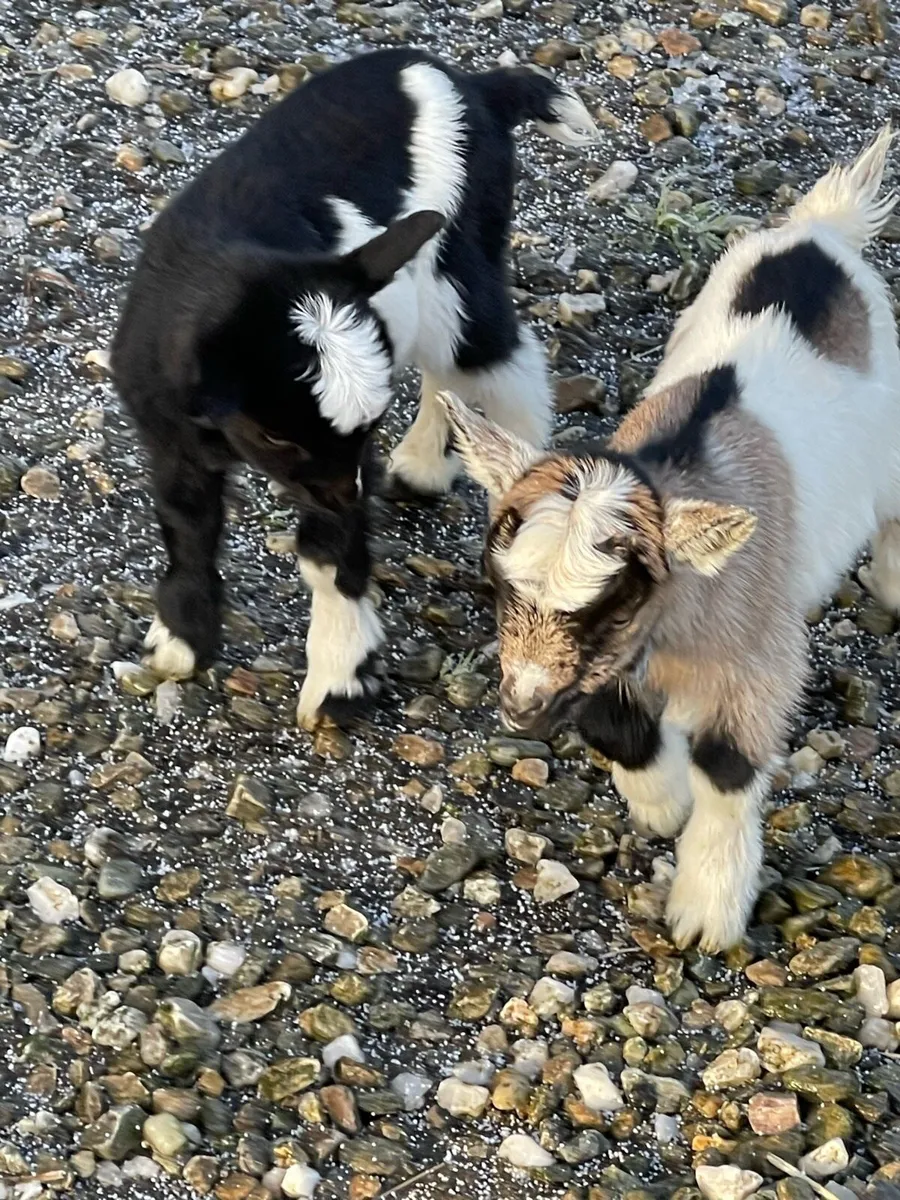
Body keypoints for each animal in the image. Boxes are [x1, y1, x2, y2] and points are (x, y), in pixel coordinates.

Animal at [111, 47, 596, 729]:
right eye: (275, 436)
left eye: (366, 427)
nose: (351, 495)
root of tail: (477, 85)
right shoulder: (169, 430)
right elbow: (186, 522)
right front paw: (181, 638)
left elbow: (325, 552)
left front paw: (341, 679)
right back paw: (423, 468)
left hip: (457, 257)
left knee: (495, 359)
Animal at [442, 126, 899, 953]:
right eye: (497, 585)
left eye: (615, 605)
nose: (519, 710)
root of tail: (822, 230)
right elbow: (611, 722)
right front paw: (661, 801)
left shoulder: (757, 658)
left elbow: (728, 763)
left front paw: (707, 909)